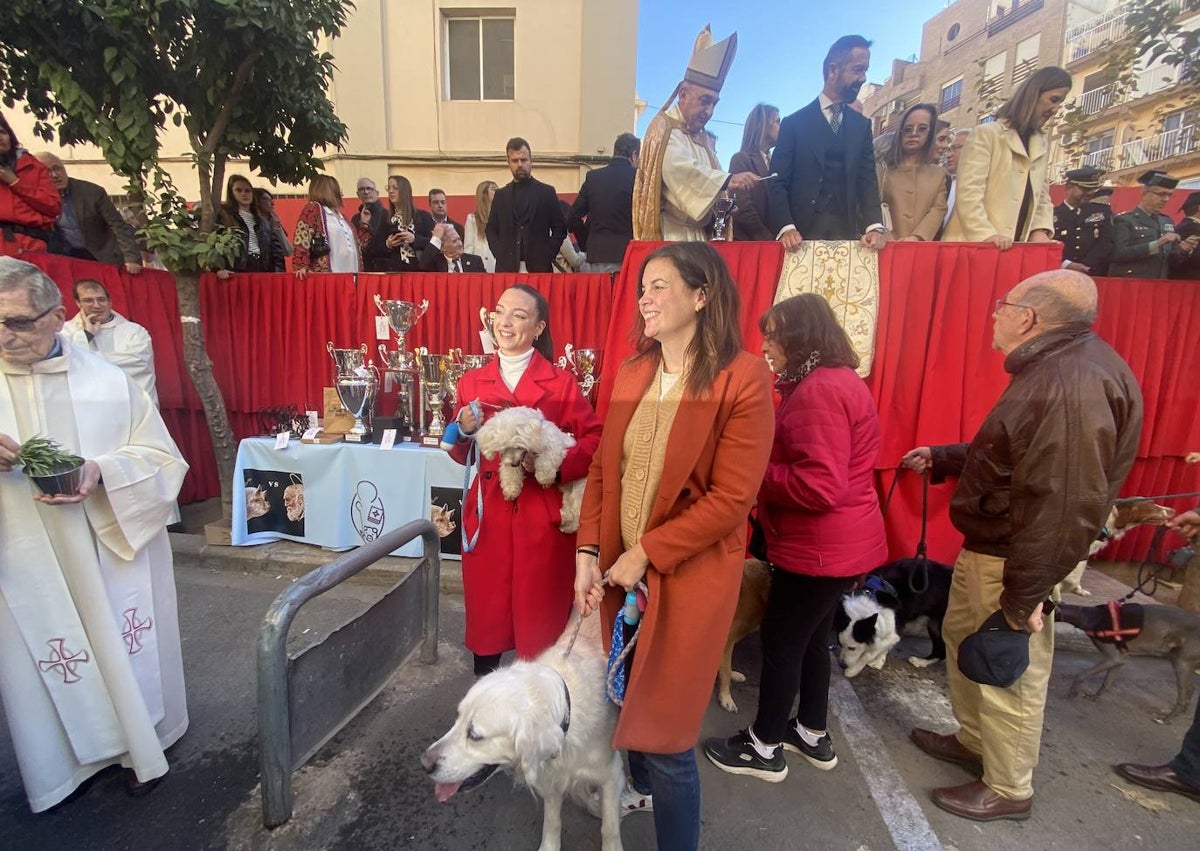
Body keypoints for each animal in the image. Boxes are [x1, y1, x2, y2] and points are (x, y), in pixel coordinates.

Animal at [422, 624, 624, 849]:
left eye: (474, 735)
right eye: (458, 719)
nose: (424, 763)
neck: (569, 713)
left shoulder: (612, 773)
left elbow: (609, 828)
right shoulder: (550, 776)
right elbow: (552, 822)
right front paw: (549, 846)